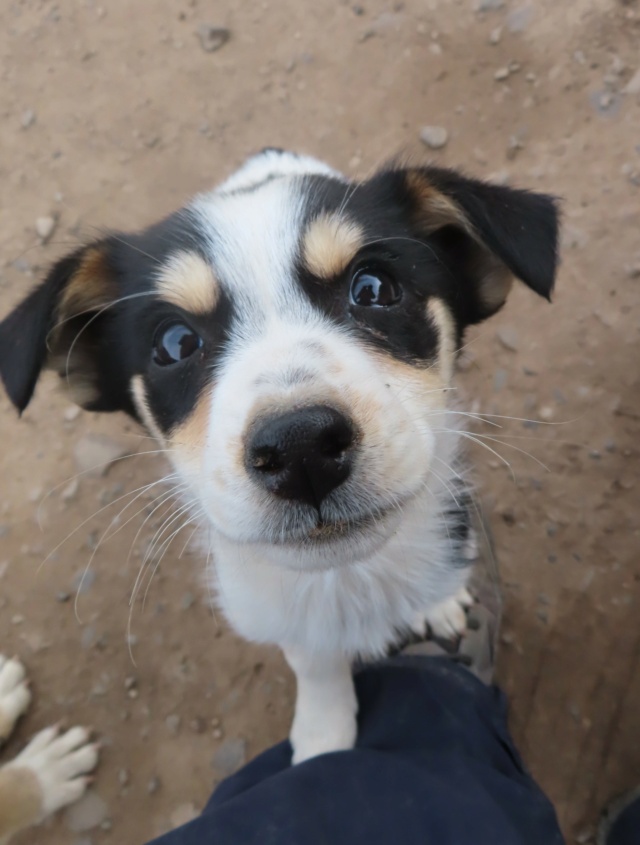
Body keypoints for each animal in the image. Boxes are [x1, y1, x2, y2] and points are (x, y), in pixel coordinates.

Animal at [0, 153, 560, 764]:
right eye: (174, 344)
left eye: (373, 288)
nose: (300, 448)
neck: (348, 576)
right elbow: (313, 663)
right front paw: (324, 738)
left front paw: (435, 599)